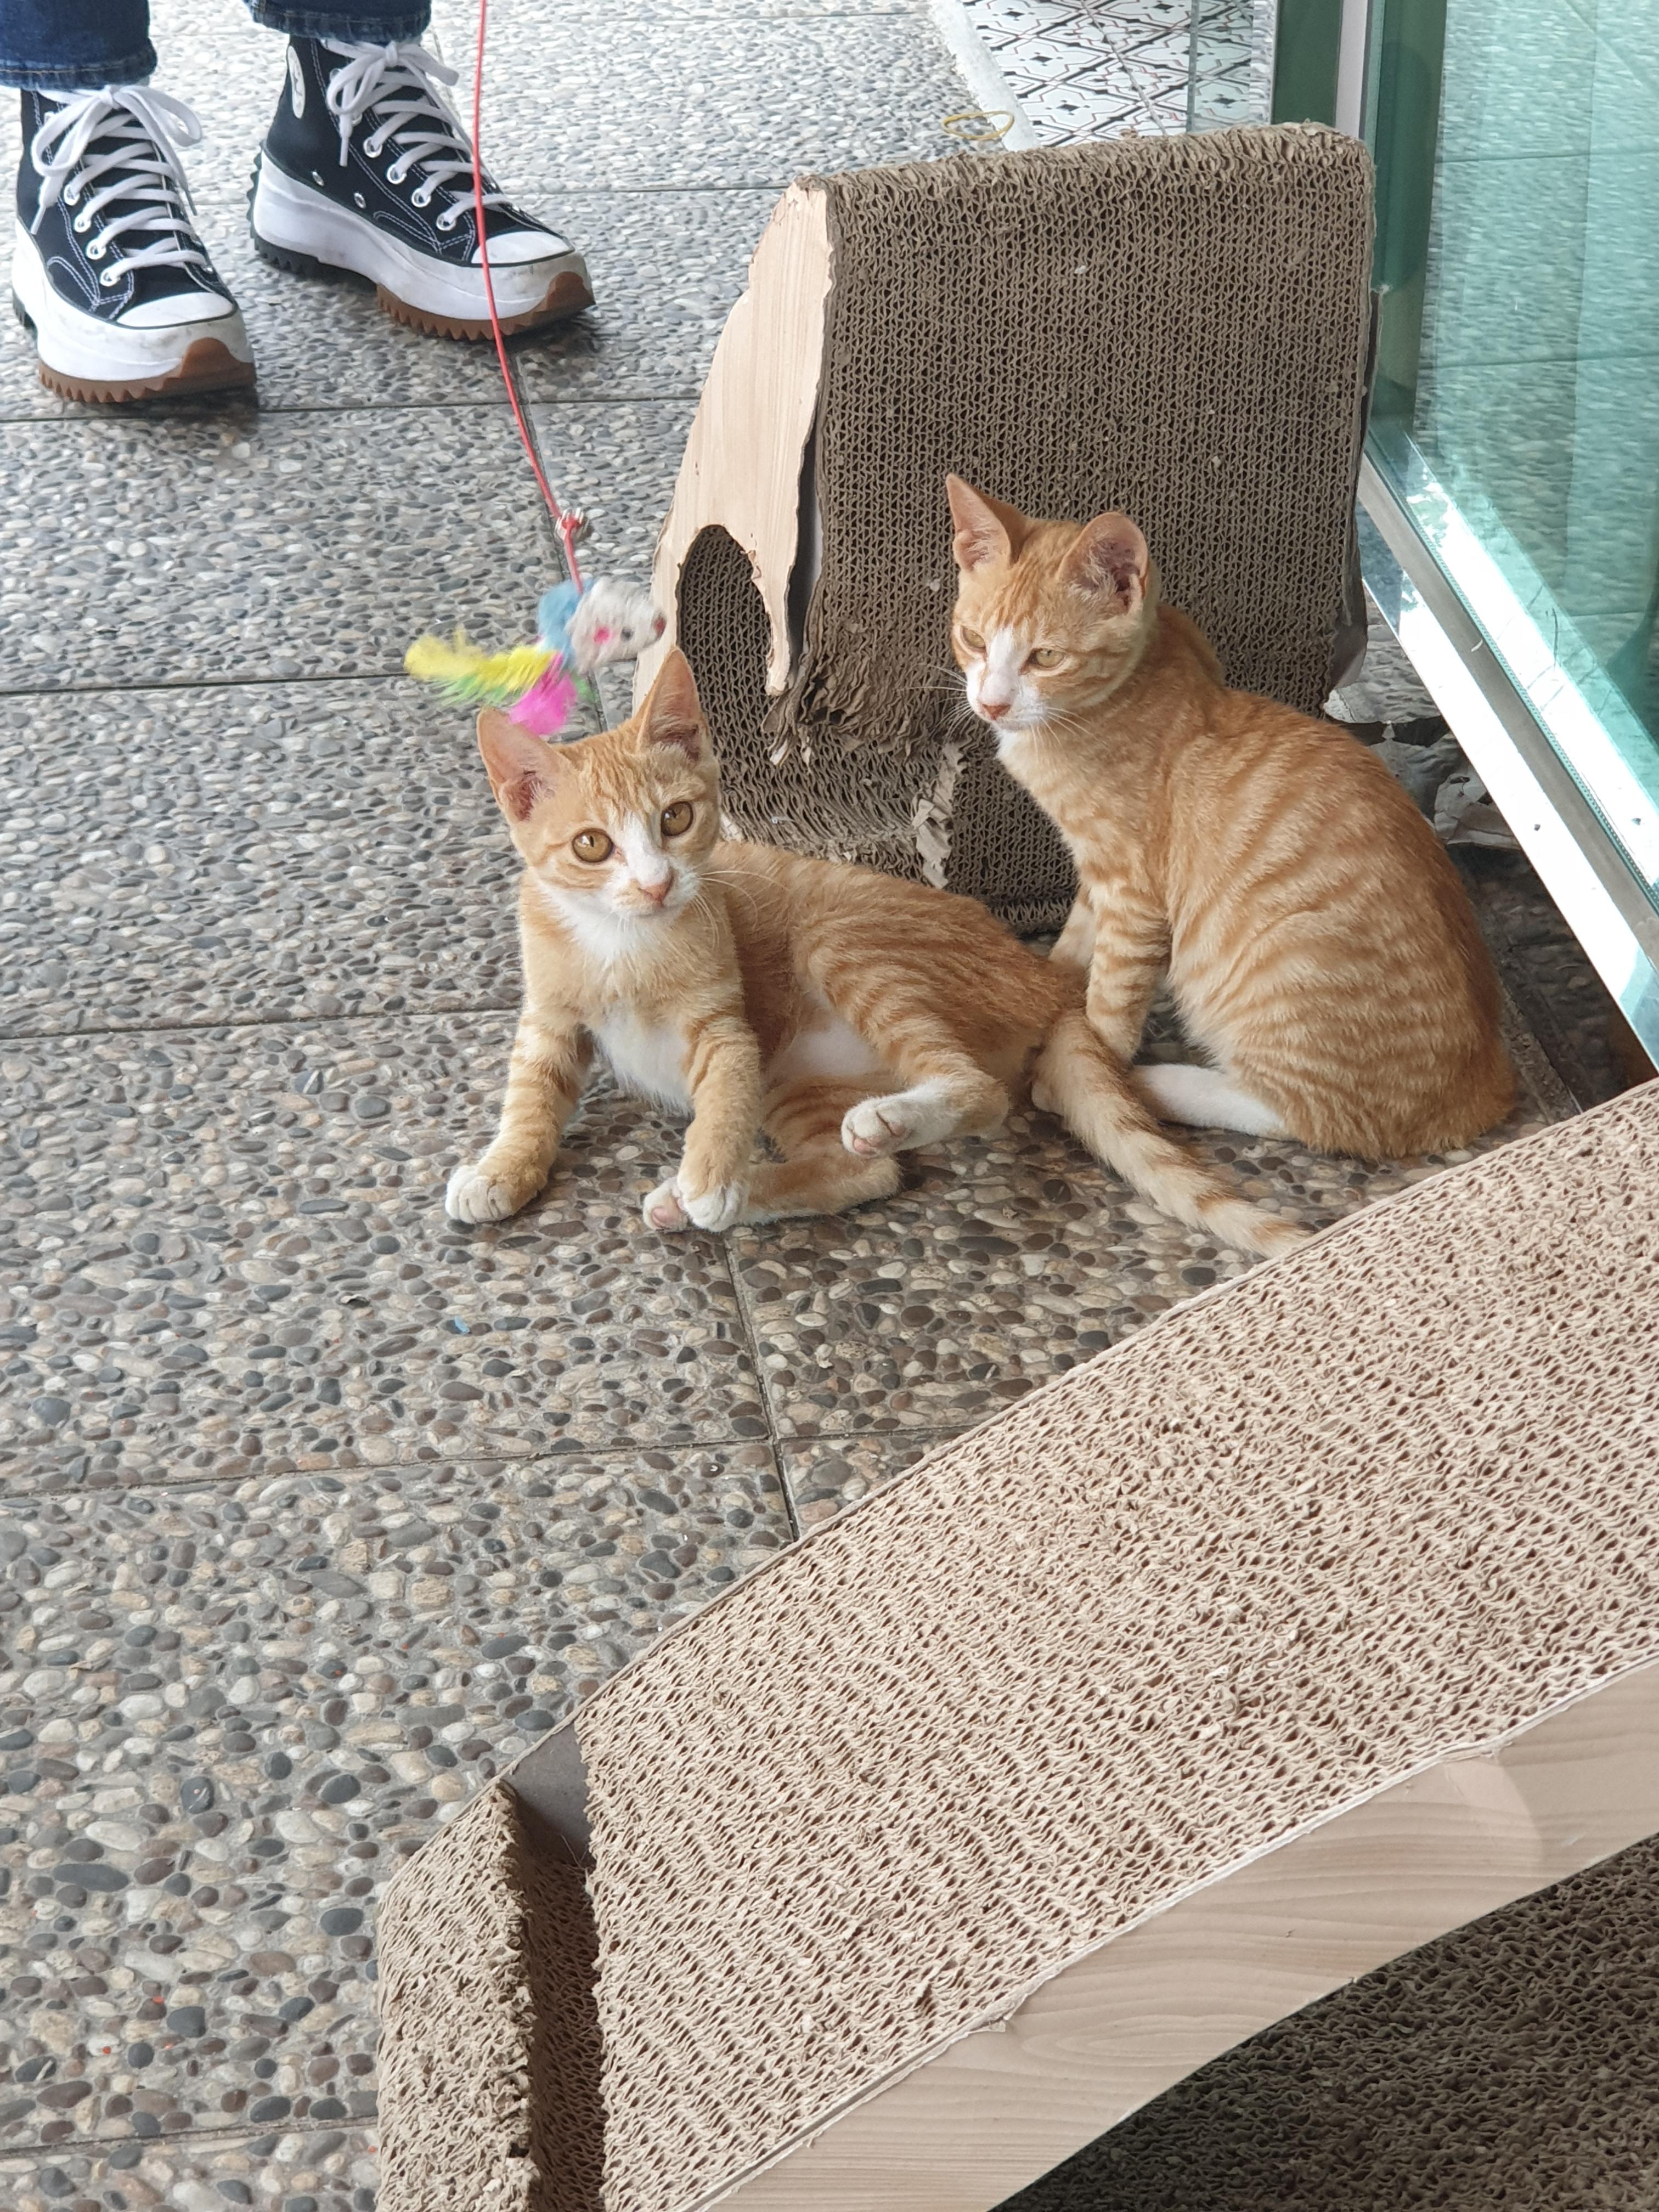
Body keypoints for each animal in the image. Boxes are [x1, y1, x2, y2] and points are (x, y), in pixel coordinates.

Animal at [445, 647, 1308, 1257]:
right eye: (592, 845)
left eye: (676, 819)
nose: (658, 884)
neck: (620, 942)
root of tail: (1044, 979)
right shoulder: (550, 1018)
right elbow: (531, 1096)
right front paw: (502, 1170)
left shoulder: (724, 1026)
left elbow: (721, 1093)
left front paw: (711, 1172)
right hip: (796, 1081)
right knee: (866, 1171)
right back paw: (734, 1190)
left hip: (842, 943)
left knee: (974, 1093)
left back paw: (838, 1141)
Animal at [945, 477, 1515, 1158]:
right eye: (974, 640)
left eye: (1046, 657)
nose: (991, 703)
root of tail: (1484, 1086)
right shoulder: (1099, 873)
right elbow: (1074, 946)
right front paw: (1042, 992)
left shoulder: (1134, 891)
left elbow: (1111, 998)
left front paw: (1086, 1077)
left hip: (1284, 980)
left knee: (1309, 1115)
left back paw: (1157, 1083)